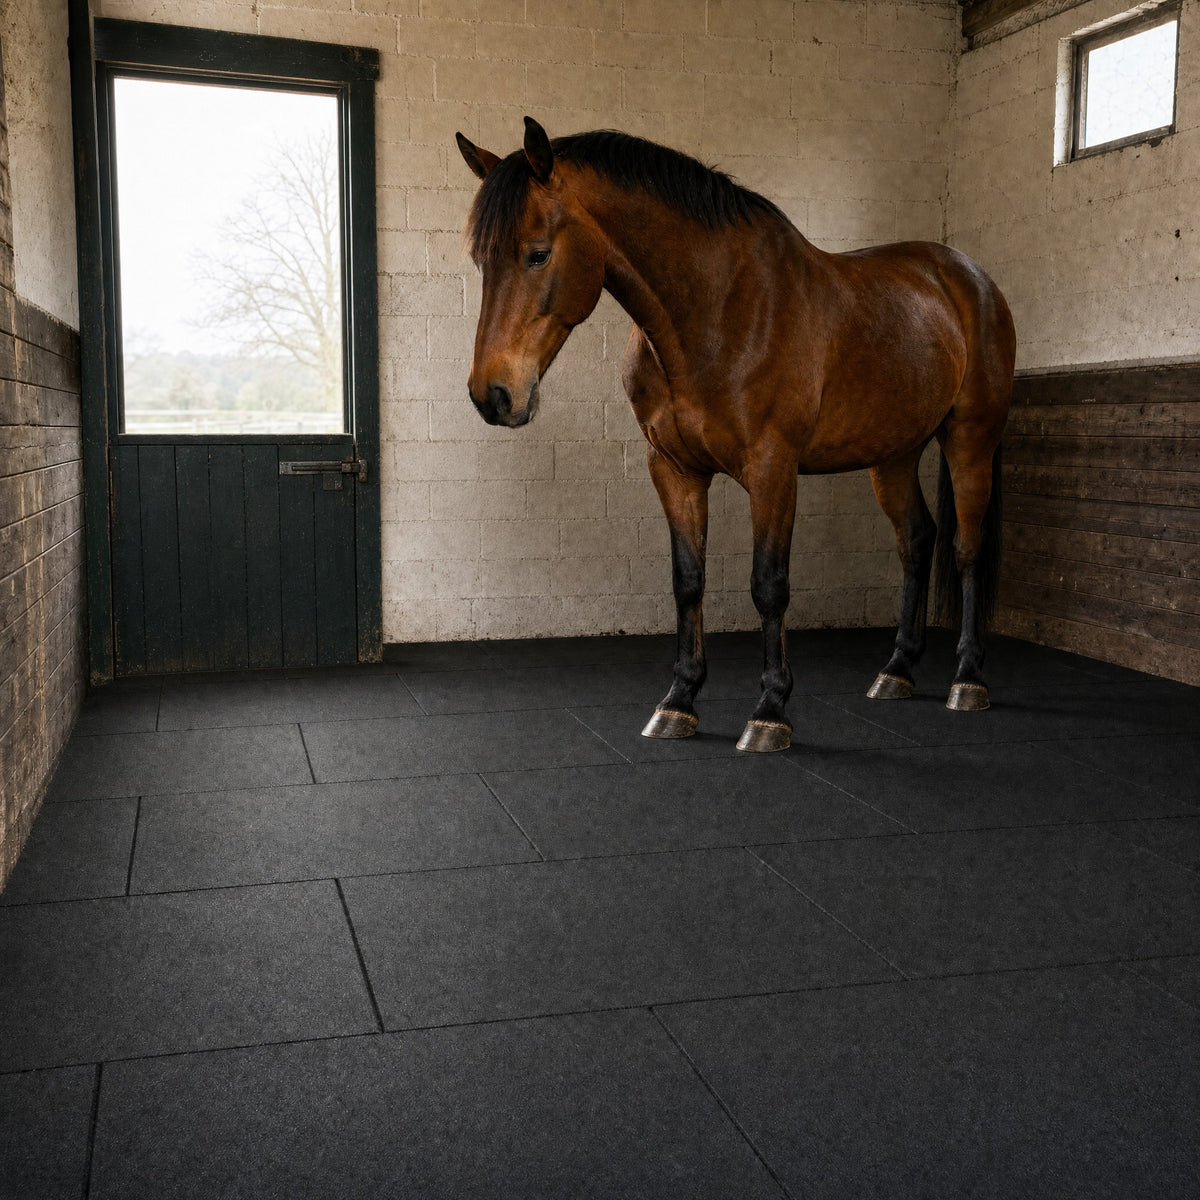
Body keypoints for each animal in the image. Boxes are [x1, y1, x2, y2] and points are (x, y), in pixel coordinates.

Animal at [455, 117, 1015, 753]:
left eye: (537, 254)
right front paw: (678, 701)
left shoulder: (772, 469)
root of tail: (969, 277)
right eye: (480, 260)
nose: (492, 395)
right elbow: (688, 580)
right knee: (916, 541)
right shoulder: (673, 469)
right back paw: (896, 670)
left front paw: (770, 710)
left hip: (970, 440)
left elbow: (768, 584)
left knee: (965, 548)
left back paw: (967, 678)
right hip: (893, 454)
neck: (716, 311)